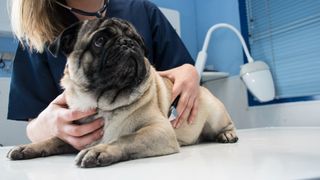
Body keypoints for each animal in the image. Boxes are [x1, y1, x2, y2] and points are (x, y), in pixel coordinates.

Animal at [6, 17, 238, 168]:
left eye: (139, 42)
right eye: (99, 41)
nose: (128, 43)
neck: (103, 102)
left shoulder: (159, 130)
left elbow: (127, 138)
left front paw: (101, 150)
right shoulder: (72, 135)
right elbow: (53, 139)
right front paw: (27, 148)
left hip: (215, 113)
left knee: (225, 124)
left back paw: (227, 134)